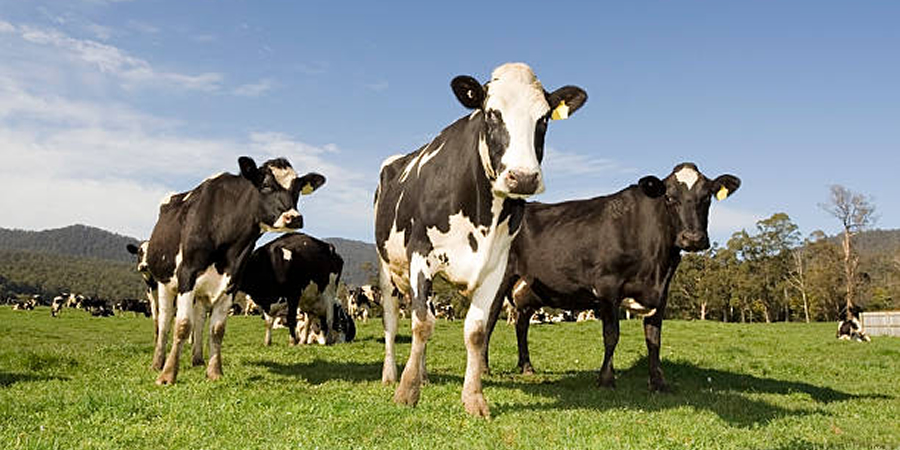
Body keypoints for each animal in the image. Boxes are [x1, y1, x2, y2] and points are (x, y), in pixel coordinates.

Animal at [145, 156, 324, 385]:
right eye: (266, 186)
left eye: (298, 190)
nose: (294, 218)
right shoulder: (187, 276)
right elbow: (183, 326)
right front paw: (168, 375)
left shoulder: (232, 281)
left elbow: (217, 329)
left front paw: (214, 372)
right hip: (164, 282)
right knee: (165, 321)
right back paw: (157, 362)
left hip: (201, 292)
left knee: (200, 320)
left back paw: (197, 359)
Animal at [374, 62, 587, 416]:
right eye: (491, 113)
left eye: (544, 118)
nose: (523, 178)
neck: (481, 214)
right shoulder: (421, 254)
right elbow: (421, 324)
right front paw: (407, 391)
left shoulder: (496, 265)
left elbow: (475, 331)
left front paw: (473, 398)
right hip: (387, 267)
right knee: (392, 321)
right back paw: (392, 374)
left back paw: (424, 374)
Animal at [483, 163, 740, 392]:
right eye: (669, 198)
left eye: (707, 197)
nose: (693, 238)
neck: (656, 263)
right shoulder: (608, 286)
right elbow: (611, 335)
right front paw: (606, 379)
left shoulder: (661, 292)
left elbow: (654, 339)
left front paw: (658, 382)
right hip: (498, 279)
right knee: (490, 319)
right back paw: (485, 368)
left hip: (530, 291)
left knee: (521, 324)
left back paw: (526, 366)